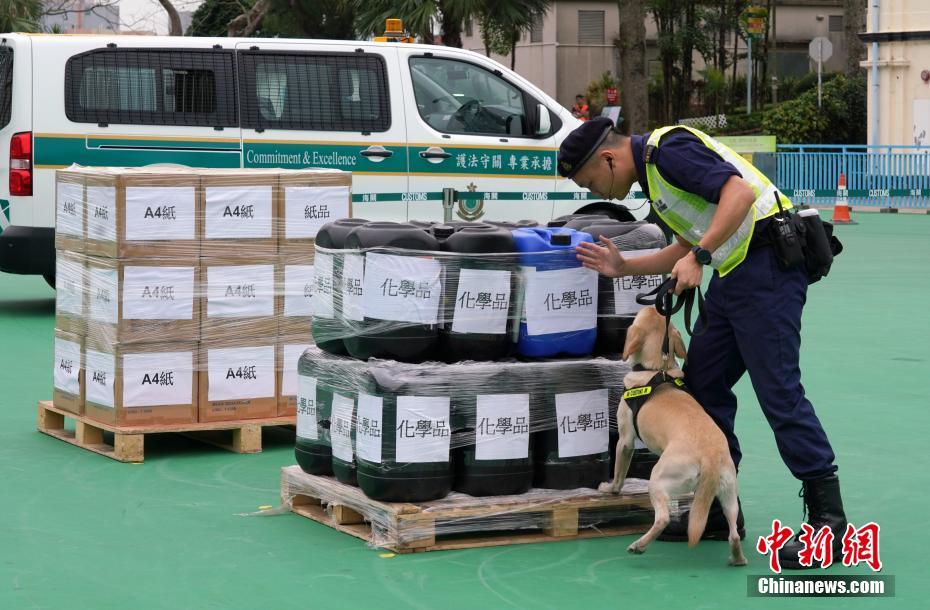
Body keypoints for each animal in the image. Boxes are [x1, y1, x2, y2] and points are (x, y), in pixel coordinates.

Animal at [600, 308, 748, 564]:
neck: (657, 369)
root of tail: (710, 457)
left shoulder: (625, 440)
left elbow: (619, 472)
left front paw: (611, 490)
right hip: (728, 493)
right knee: (734, 532)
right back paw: (737, 559)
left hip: (658, 479)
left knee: (663, 518)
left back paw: (639, 545)